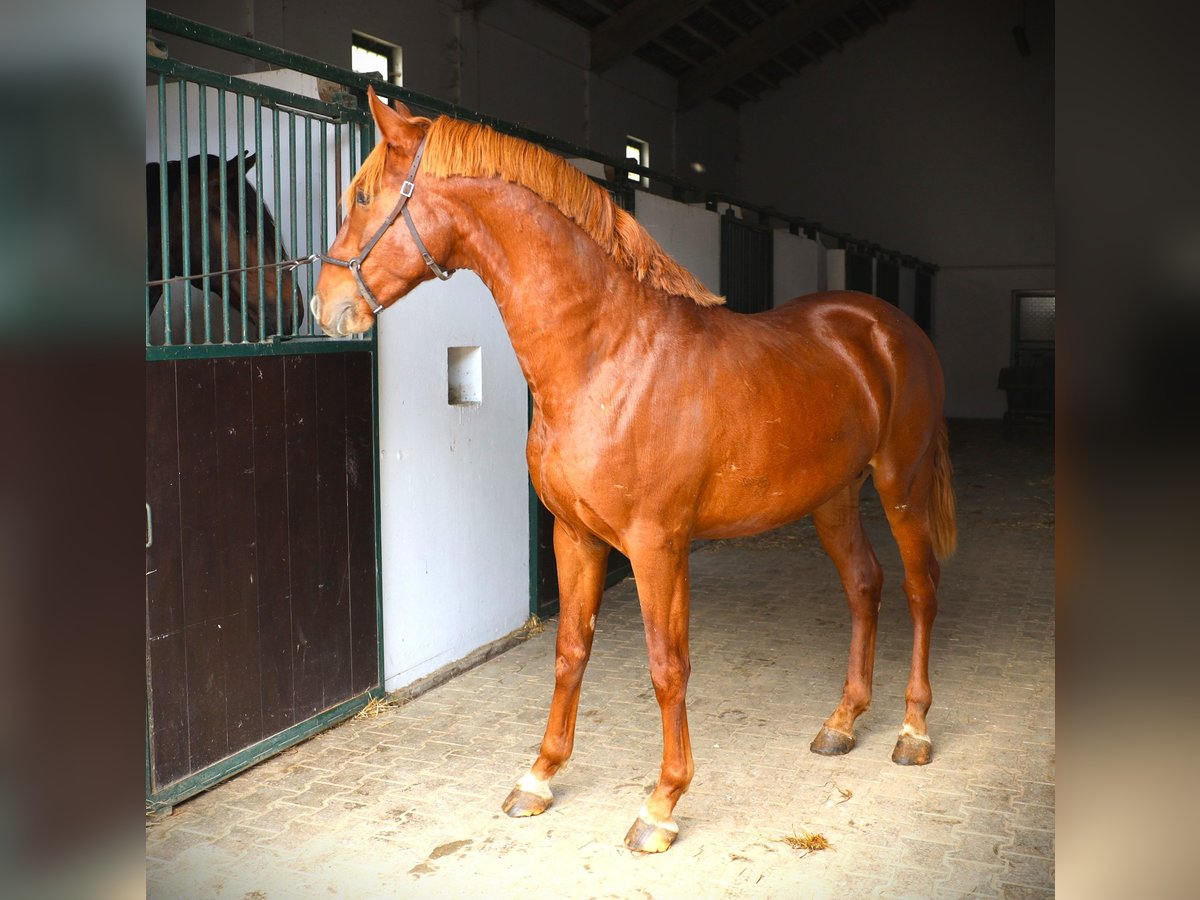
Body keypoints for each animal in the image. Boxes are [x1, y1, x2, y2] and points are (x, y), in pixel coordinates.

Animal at [309, 90, 955, 854]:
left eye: (361, 196)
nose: (325, 305)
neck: (608, 354)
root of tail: (890, 327)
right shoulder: (574, 536)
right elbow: (570, 650)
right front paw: (539, 776)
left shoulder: (656, 545)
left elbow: (666, 665)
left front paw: (662, 803)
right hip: (832, 498)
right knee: (864, 585)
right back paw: (843, 722)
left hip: (900, 485)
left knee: (919, 588)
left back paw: (913, 730)